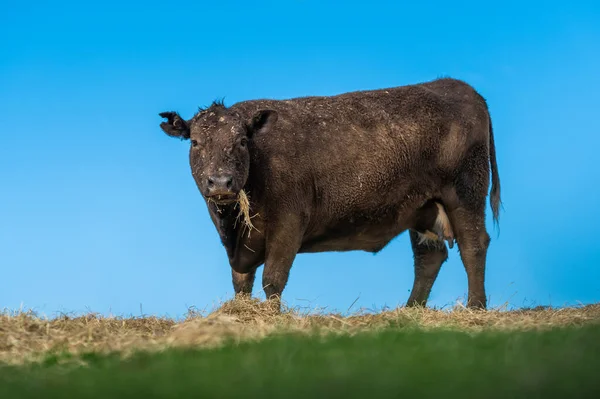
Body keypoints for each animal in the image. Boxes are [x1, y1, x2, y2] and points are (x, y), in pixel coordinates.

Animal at [159, 76, 502, 310]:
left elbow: (273, 277)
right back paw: (410, 311)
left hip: (465, 192)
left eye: (242, 141)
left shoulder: (289, 223)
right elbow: (241, 282)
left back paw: (475, 307)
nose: (221, 182)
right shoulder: (239, 245)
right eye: (195, 142)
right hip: (422, 207)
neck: (233, 226)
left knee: (473, 245)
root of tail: (458, 86)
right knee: (429, 256)